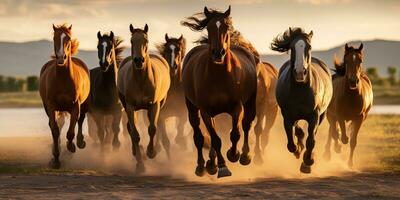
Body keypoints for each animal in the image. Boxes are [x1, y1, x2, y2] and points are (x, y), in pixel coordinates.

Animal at [38, 24, 89, 169]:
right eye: (54, 38)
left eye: (68, 38)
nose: (62, 58)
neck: (63, 78)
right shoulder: (51, 106)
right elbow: (55, 130)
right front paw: (55, 159)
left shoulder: (75, 105)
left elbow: (71, 130)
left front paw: (71, 146)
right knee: (55, 125)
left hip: (83, 105)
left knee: (80, 120)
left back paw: (80, 143)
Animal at [117, 23, 170, 173]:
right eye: (131, 41)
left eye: (146, 40)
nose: (139, 60)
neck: (141, 80)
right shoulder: (130, 106)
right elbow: (135, 134)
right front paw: (140, 165)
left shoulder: (154, 105)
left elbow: (152, 129)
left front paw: (151, 152)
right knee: (130, 128)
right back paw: (135, 152)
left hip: (158, 105)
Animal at [180, 6, 258, 178]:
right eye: (209, 28)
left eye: (226, 26)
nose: (218, 53)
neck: (219, 75)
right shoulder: (205, 111)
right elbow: (215, 139)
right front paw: (222, 166)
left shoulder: (237, 107)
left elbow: (235, 133)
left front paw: (234, 154)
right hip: (192, 108)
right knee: (199, 136)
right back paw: (204, 165)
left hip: (250, 103)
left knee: (247, 124)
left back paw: (244, 156)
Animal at [270, 27, 332, 173]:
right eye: (292, 47)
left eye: (309, 47)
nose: (299, 73)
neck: (301, 89)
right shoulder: (287, 115)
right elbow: (291, 142)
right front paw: (298, 150)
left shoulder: (314, 116)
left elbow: (311, 140)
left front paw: (307, 162)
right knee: (298, 131)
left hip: (322, 115)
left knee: (312, 134)